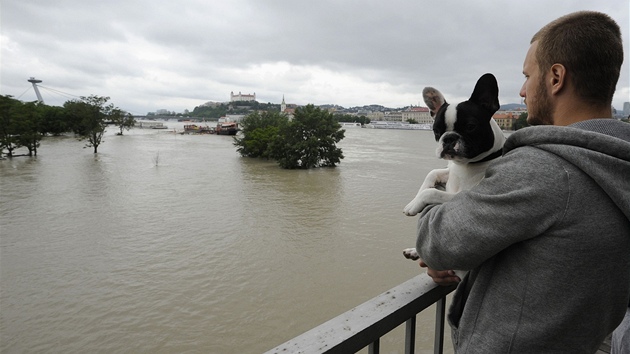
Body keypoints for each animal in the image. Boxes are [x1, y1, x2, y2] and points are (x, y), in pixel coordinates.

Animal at [404, 72, 508, 272]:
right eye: (436, 130)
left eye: (470, 127)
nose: (449, 138)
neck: (465, 165)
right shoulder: (449, 170)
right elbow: (432, 173)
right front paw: (416, 197)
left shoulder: (460, 198)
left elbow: (432, 192)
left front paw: (414, 204)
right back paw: (413, 251)